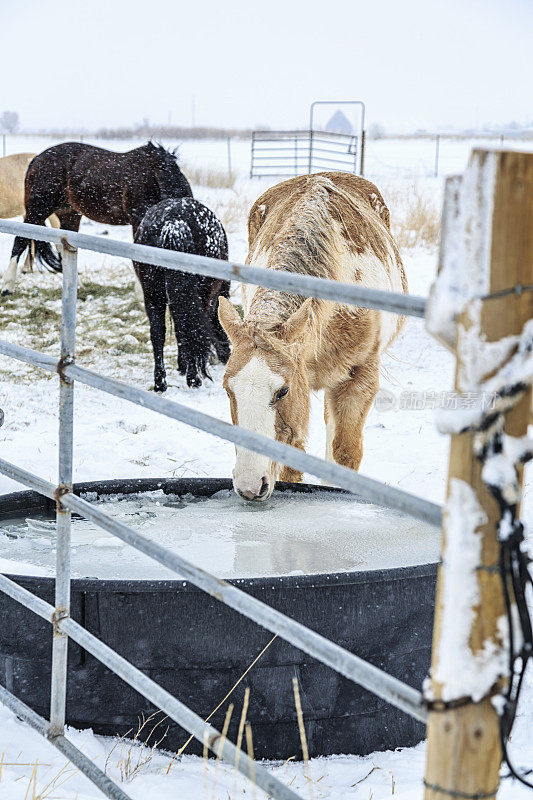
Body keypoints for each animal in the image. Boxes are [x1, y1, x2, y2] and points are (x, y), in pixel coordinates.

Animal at [1, 142, 193, 296]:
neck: (156, 175)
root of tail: (36, 159)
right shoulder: (138, 220)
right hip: (37, 210)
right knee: (20, 240)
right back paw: (7, 286)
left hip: (69, 215)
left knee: (63, 247)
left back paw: (77, 286)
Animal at [134, 198, 230, 390]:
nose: (228, 354)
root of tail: (174, 223)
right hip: (200, 294)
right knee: (191, 330)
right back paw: (193, 379)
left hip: (153, 294)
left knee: (158, 333)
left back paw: (160, 383)